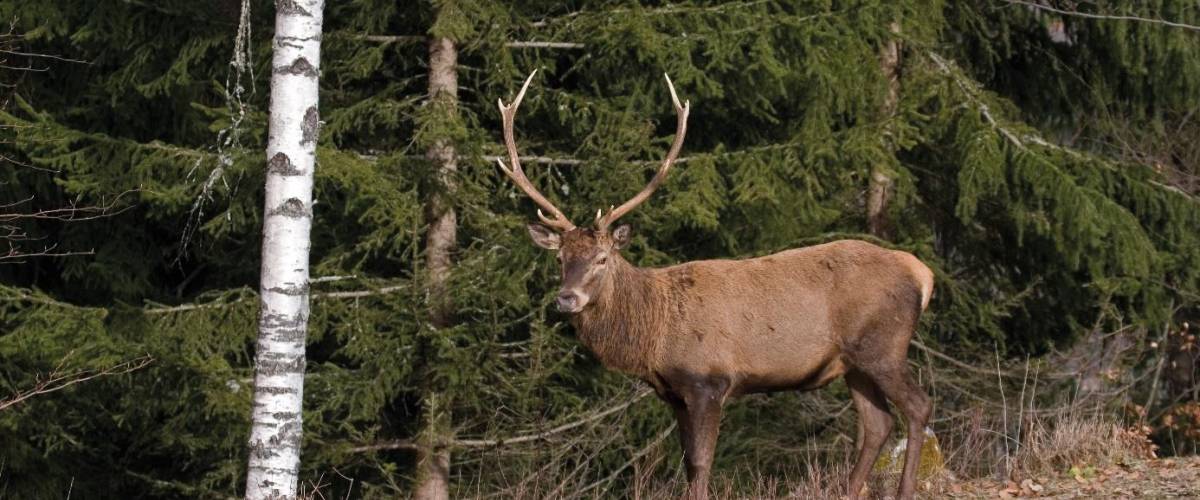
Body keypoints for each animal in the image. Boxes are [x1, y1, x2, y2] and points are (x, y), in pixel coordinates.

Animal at [495, 71, 935, 500]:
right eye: (560, 259)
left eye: (602, 259)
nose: (566, 298)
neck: (654, 334)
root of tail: (921, 273)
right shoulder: (674, 392)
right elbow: (689, 464)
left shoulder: (709, 379)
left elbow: (702, 462)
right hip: (854, 362)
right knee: (878, 423)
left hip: (884, 345)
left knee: (918, 407)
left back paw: (905, 491)